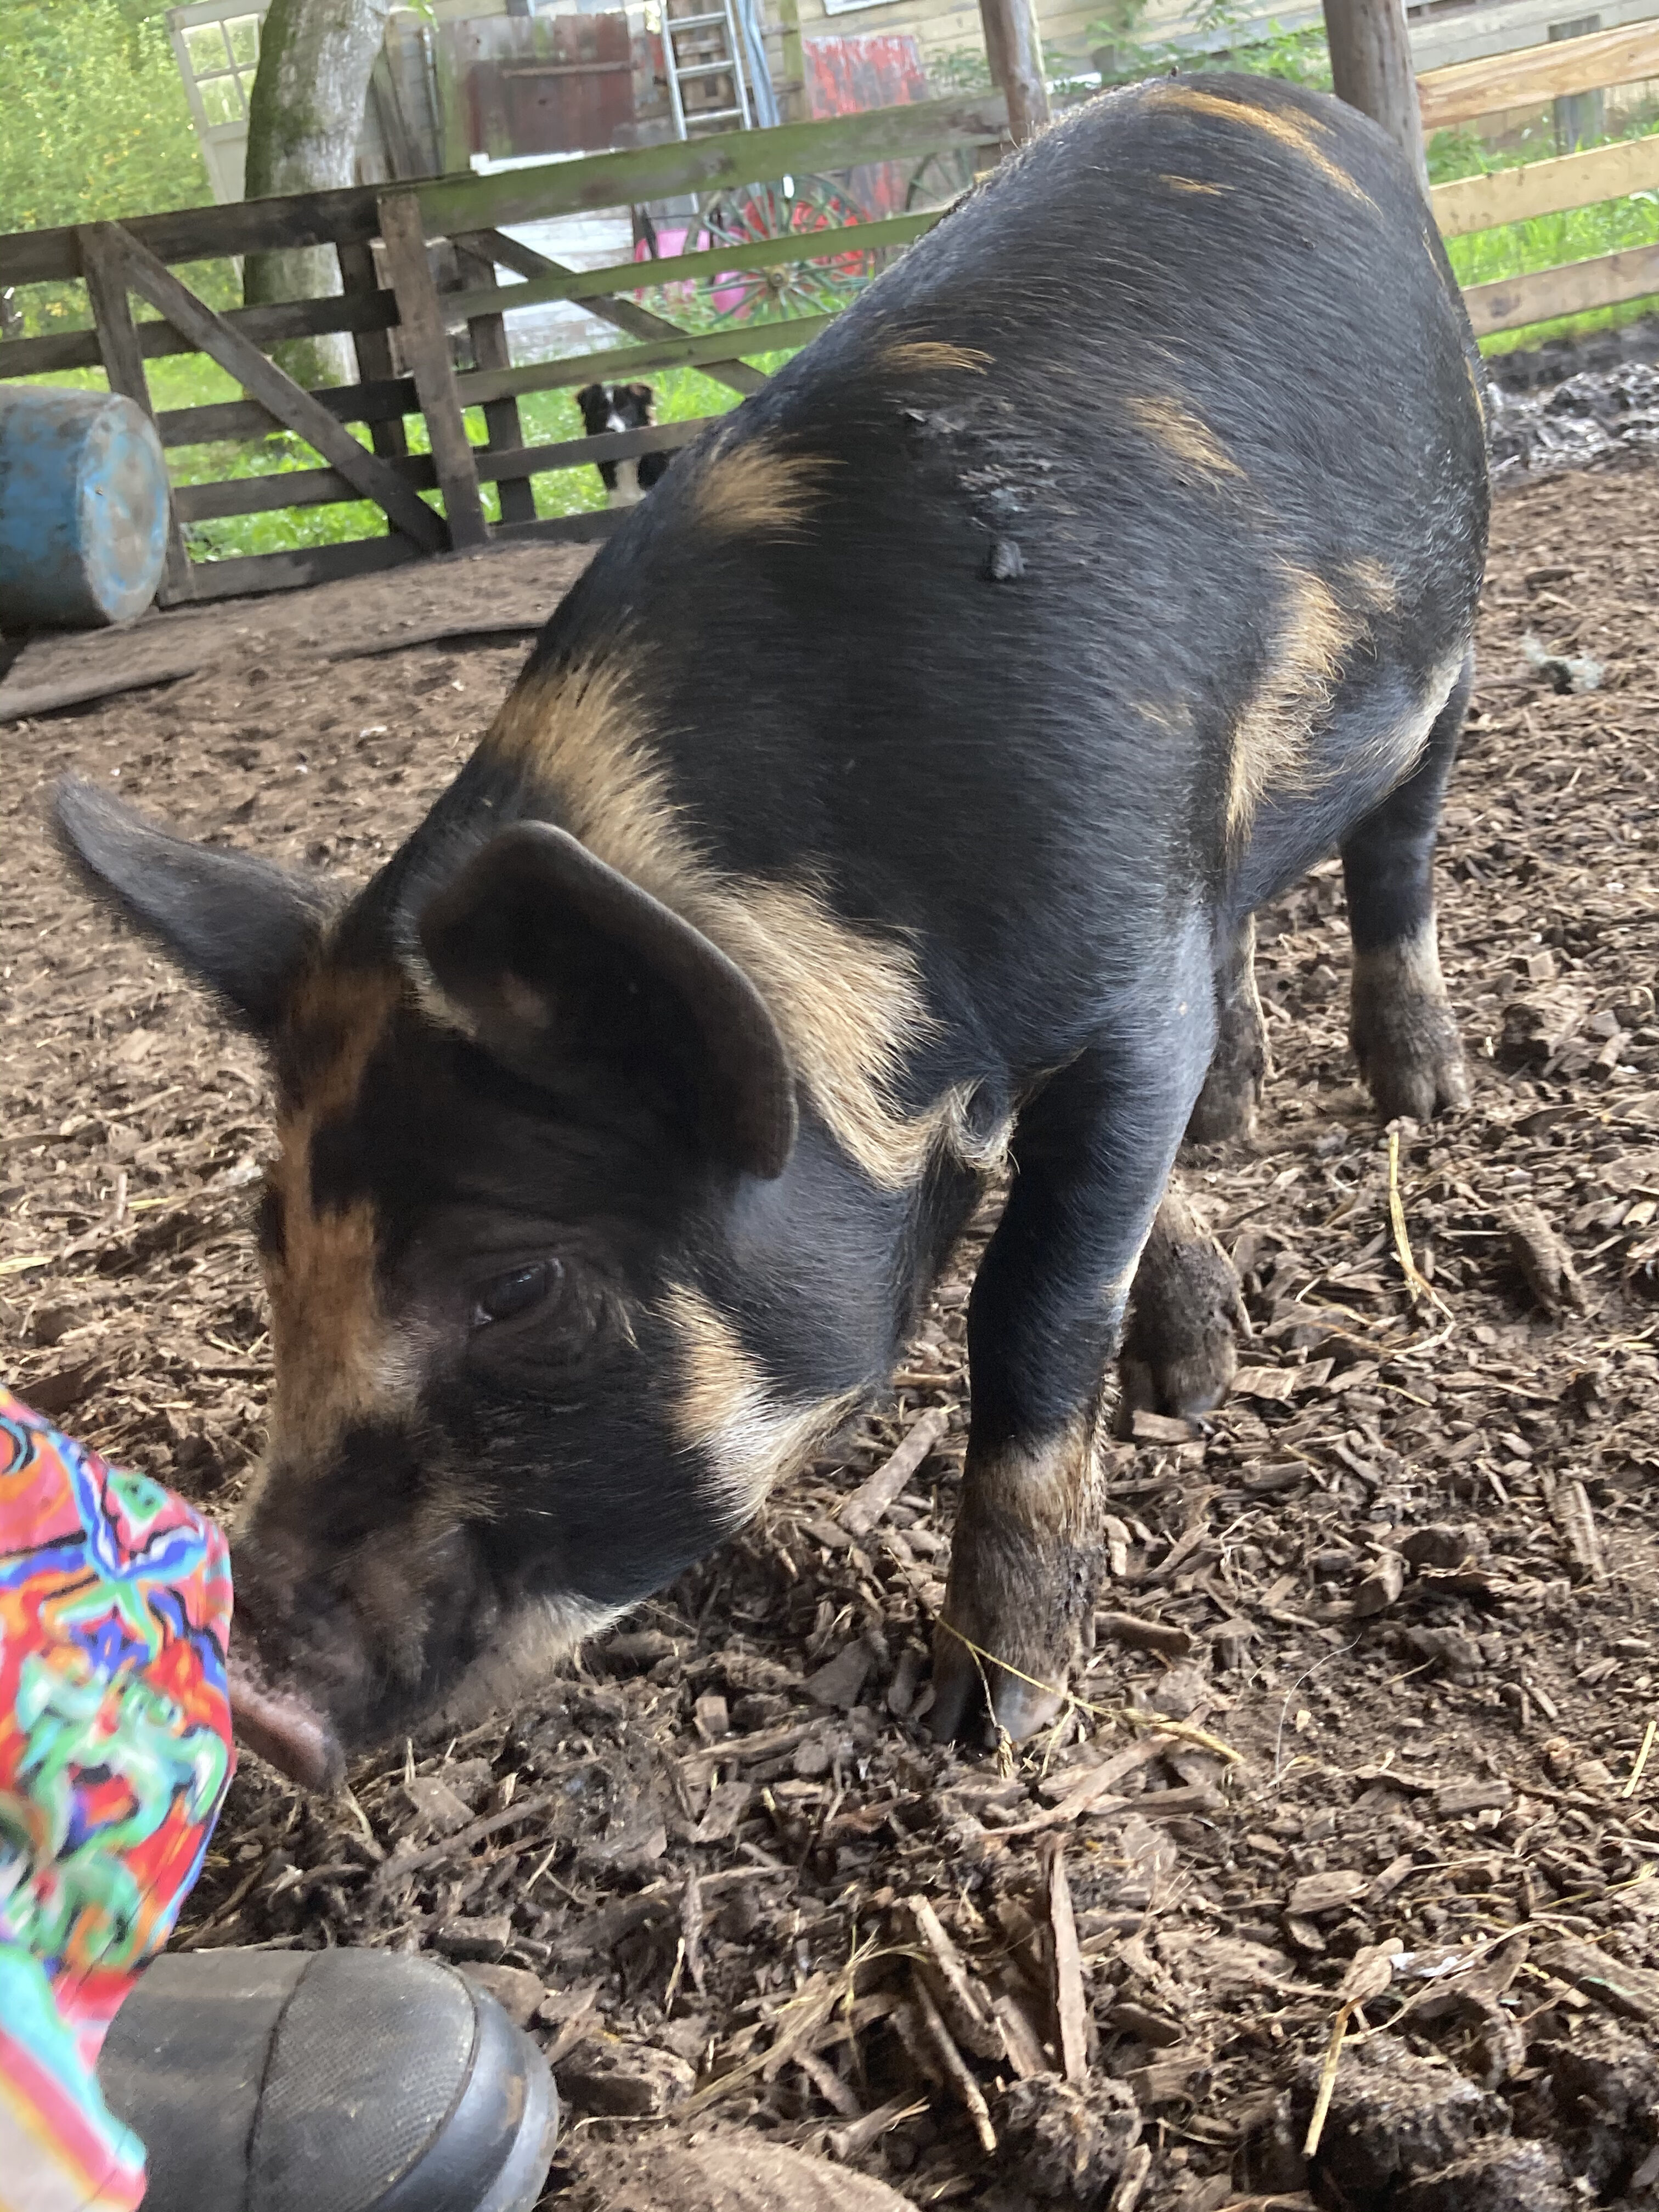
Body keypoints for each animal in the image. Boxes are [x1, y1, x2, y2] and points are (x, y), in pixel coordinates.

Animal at [56, 73, 1488, 1791]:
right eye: (268, 1242)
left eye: (518, 1289)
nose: (256, 1703)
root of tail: (1295, 99)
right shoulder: (1143, 960)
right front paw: (1188, 1354)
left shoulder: (1121, 968)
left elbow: (1034, 1304)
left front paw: (1000, 1707)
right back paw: (1243, 1108)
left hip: (1448, 643)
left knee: (1396, 859)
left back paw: (1424, 1096)